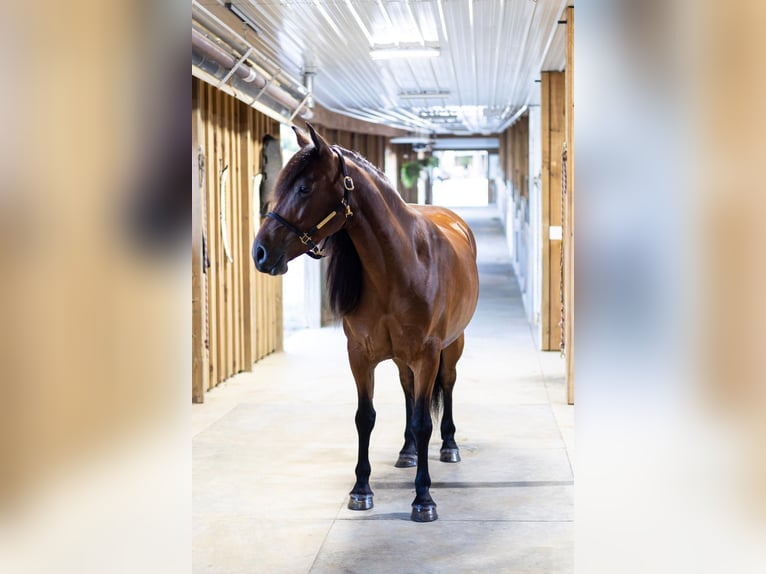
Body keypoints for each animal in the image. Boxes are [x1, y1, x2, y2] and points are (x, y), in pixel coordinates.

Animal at [252, 124, 479, 522]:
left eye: (304, 188)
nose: (260, 253)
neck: (399, 267)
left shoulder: (427, 355)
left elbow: (424, 422)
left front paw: (424, 499)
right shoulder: (359, 355)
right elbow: (365, 417)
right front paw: (361, 490)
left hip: (452, 346)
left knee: (448, 385)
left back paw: (449, 445)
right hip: (404, 359)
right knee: (408, 392)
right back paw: (406, 452)